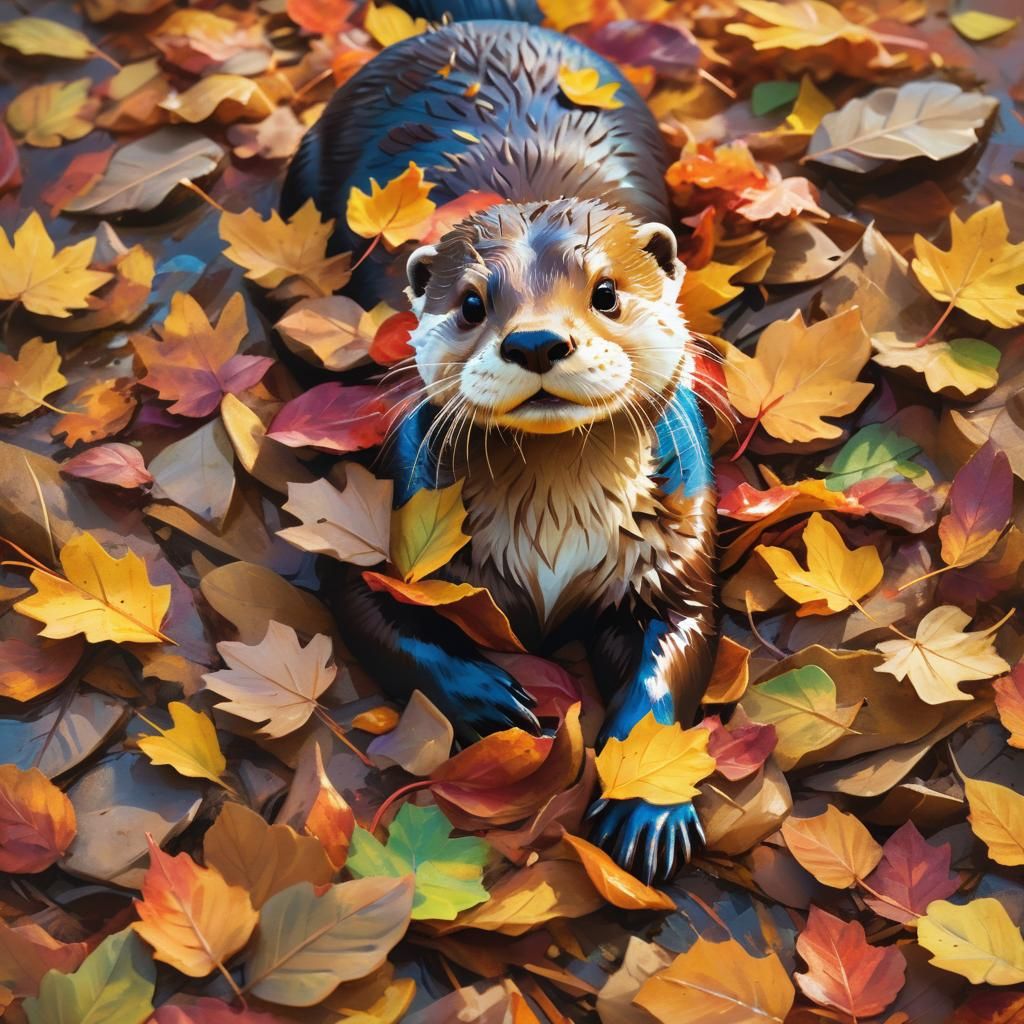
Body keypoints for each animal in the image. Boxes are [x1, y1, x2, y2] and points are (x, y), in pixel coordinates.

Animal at [281, 17, 716, 883]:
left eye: (607, 291)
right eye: (472, 303)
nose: (538, 341)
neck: (554, 534)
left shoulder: (679, 533)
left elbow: (677, 644)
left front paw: (647, 806)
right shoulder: (383, 509)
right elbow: (371, 613)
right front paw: (490, 696)